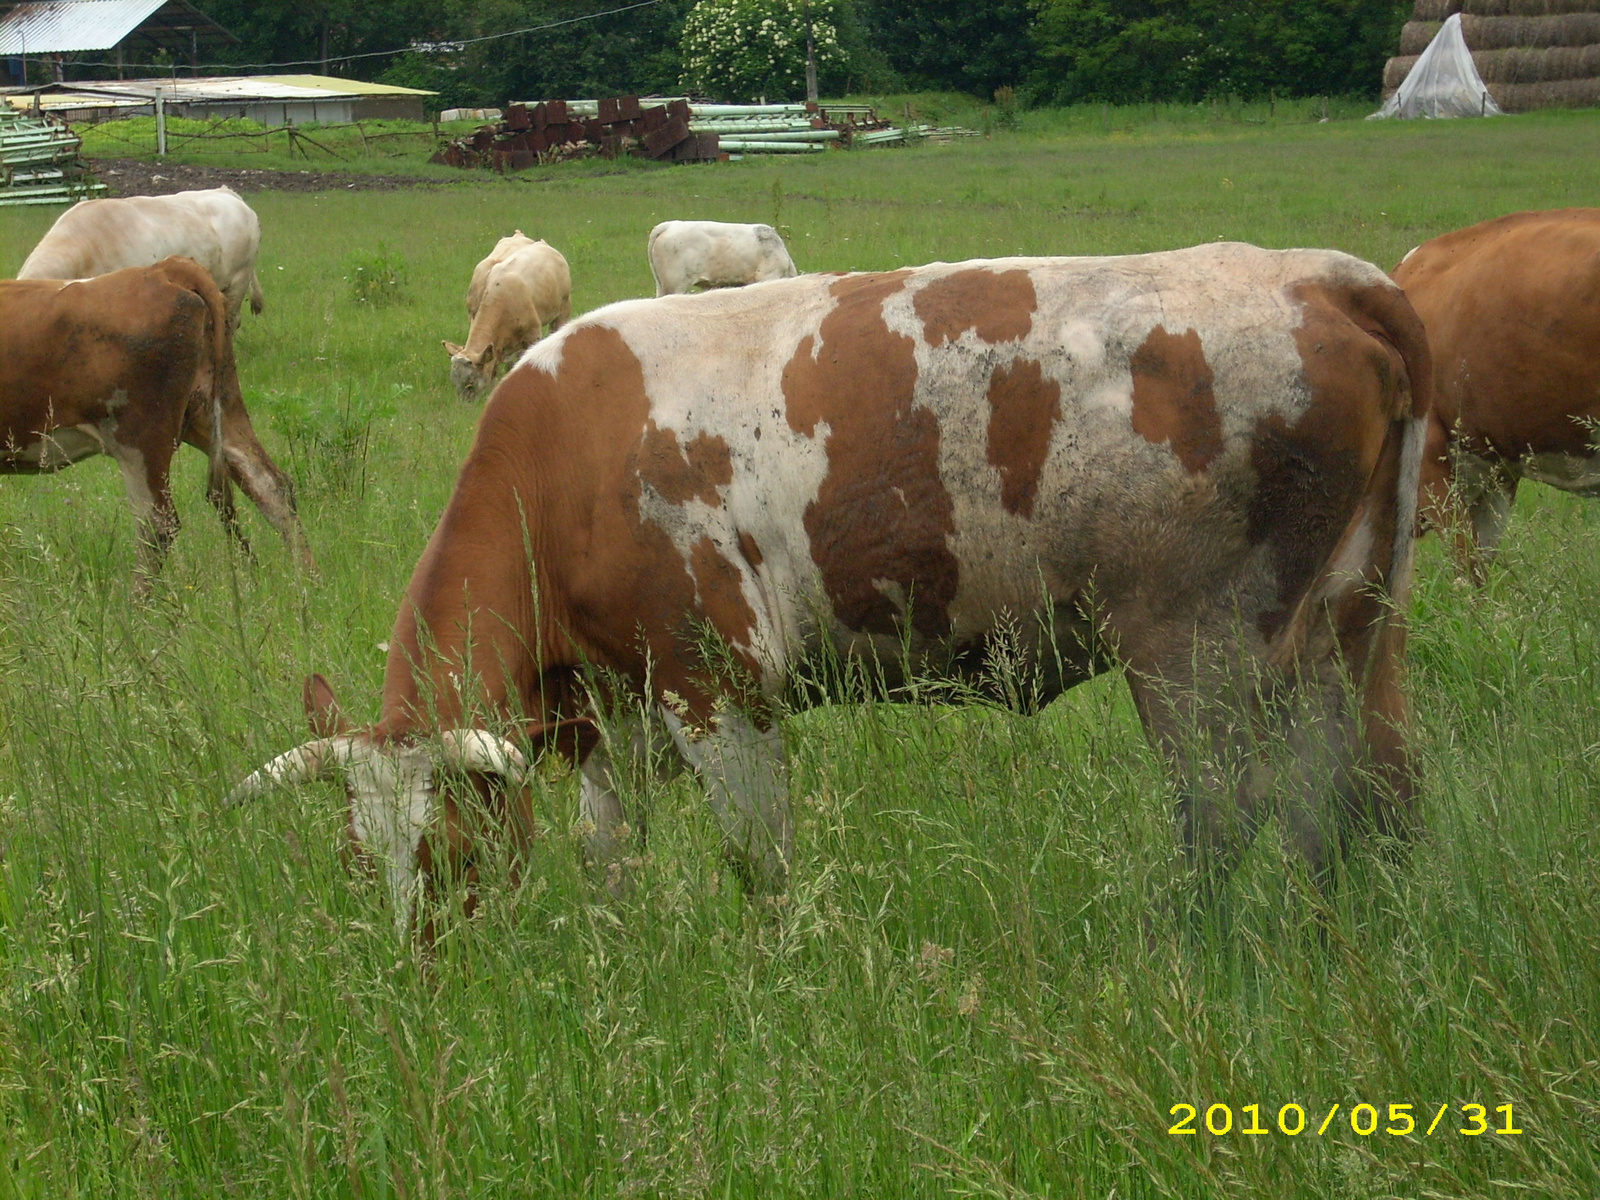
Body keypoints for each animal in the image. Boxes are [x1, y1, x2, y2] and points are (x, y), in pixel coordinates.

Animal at [1, 259, 312, 588]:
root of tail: (165, 269)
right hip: (218, 409)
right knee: (271, 486)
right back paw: (309, 581)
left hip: (141, 439)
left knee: (157, 524)